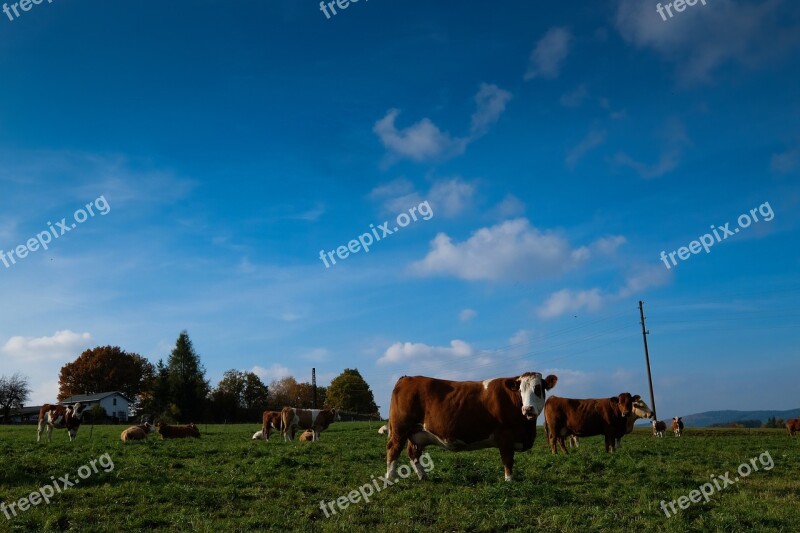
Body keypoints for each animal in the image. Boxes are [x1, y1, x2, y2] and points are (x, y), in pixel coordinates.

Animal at [382, 370, 556, 482]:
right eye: (520, 390)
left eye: (538, 388)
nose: (528, 409)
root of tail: (407, 378)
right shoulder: (505, 437)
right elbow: (508, 460)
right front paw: (509, 481)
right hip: (400, 429)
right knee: (393, 449)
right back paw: (390, 478)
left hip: (417, 433)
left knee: (413, 453)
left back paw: (423, 477)